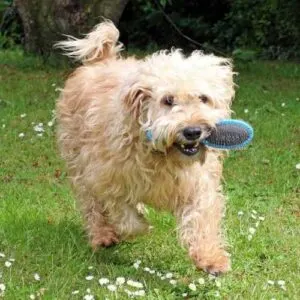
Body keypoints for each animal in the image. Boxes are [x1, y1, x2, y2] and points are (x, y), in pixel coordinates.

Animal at [55, 20, 234, 274]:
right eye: (168, 100)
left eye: (203, 98)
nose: (192, 131)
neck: (163, 156)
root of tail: (103, 60)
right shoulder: (106, 178)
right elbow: (125, 215)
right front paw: (138, 225)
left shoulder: (197, 185)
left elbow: (200, 219)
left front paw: (211, 258)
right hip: (77, 161)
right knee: (91, 205)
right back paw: (102, 235)